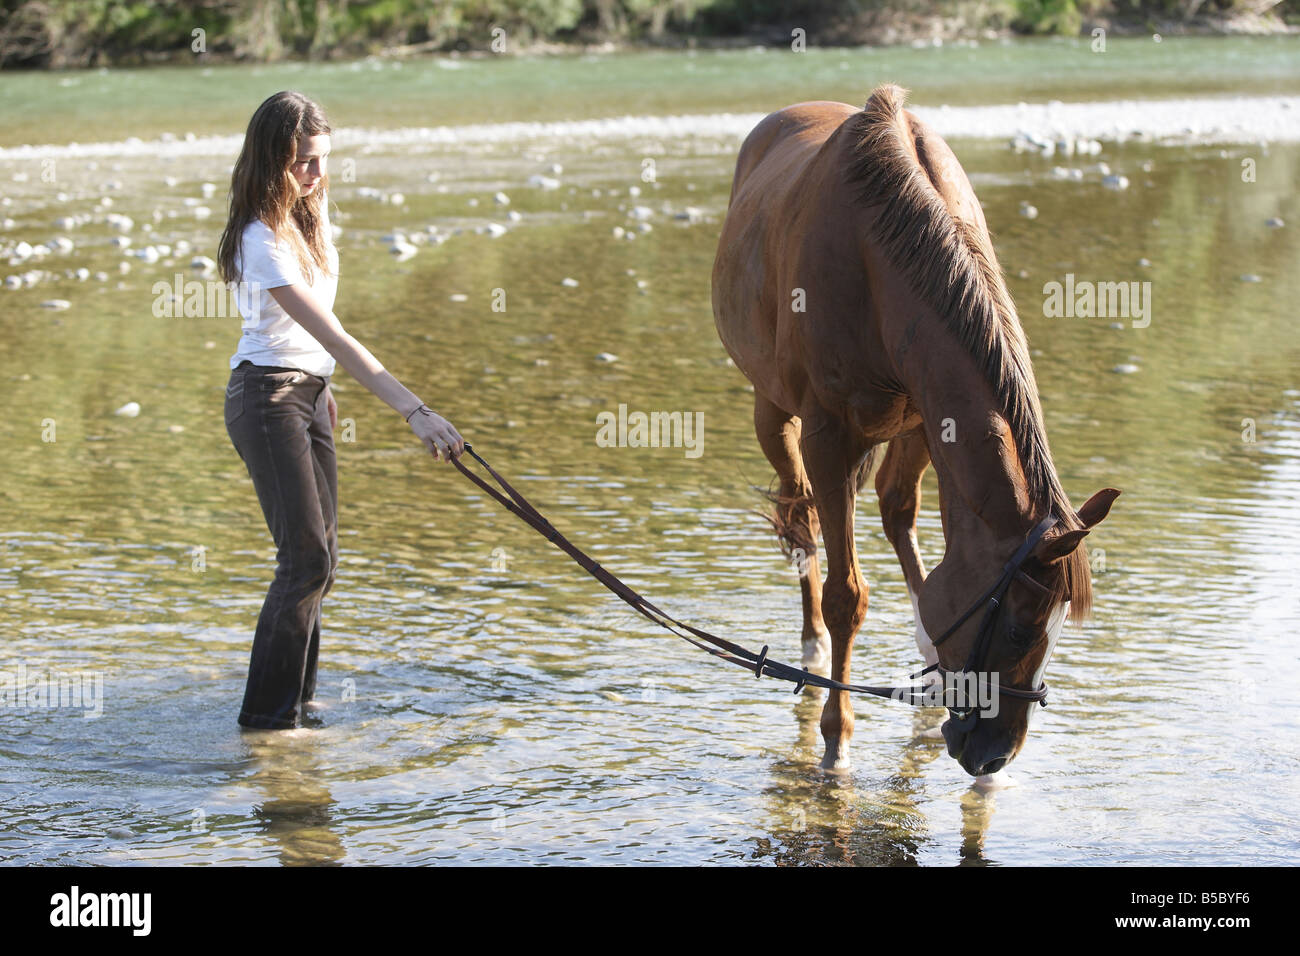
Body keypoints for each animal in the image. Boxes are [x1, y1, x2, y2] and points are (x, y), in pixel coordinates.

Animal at [712, 85, 1118, 780]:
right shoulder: (829, 438)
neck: (878, 259)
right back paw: (811, 640)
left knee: (893, 512)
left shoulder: (930, 422)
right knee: (801, 513)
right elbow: (846, 595)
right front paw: (837, 734)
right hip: (775, 414)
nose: (994, 755)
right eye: (1019, 629)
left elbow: (913, 546)